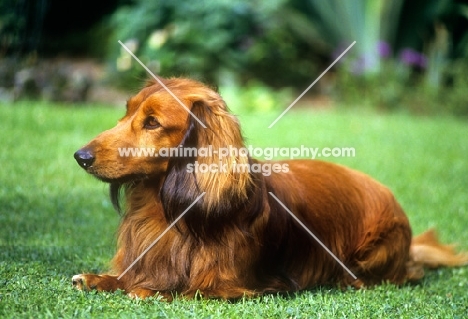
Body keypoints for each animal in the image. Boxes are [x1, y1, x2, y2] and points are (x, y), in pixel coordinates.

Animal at [73, 77, 468, 300]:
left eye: (152, 122)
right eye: (126, 113)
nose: (80, 156)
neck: (167, 210)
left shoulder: (229, 286)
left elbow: (180, 291)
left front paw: (145, 291)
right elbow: (128, 276)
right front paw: (98, 279)